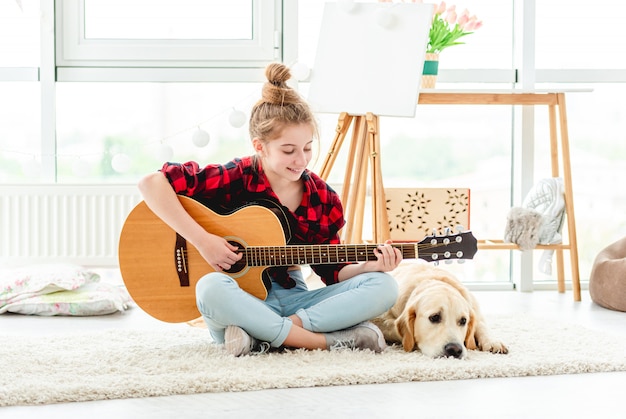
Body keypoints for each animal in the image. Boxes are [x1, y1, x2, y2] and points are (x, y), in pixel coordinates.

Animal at [370, 264, 508, 360]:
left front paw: (492, 341)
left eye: (463, 321)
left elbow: (481, 324)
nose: (455, 350)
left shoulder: (474, 307)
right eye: (434, 317)